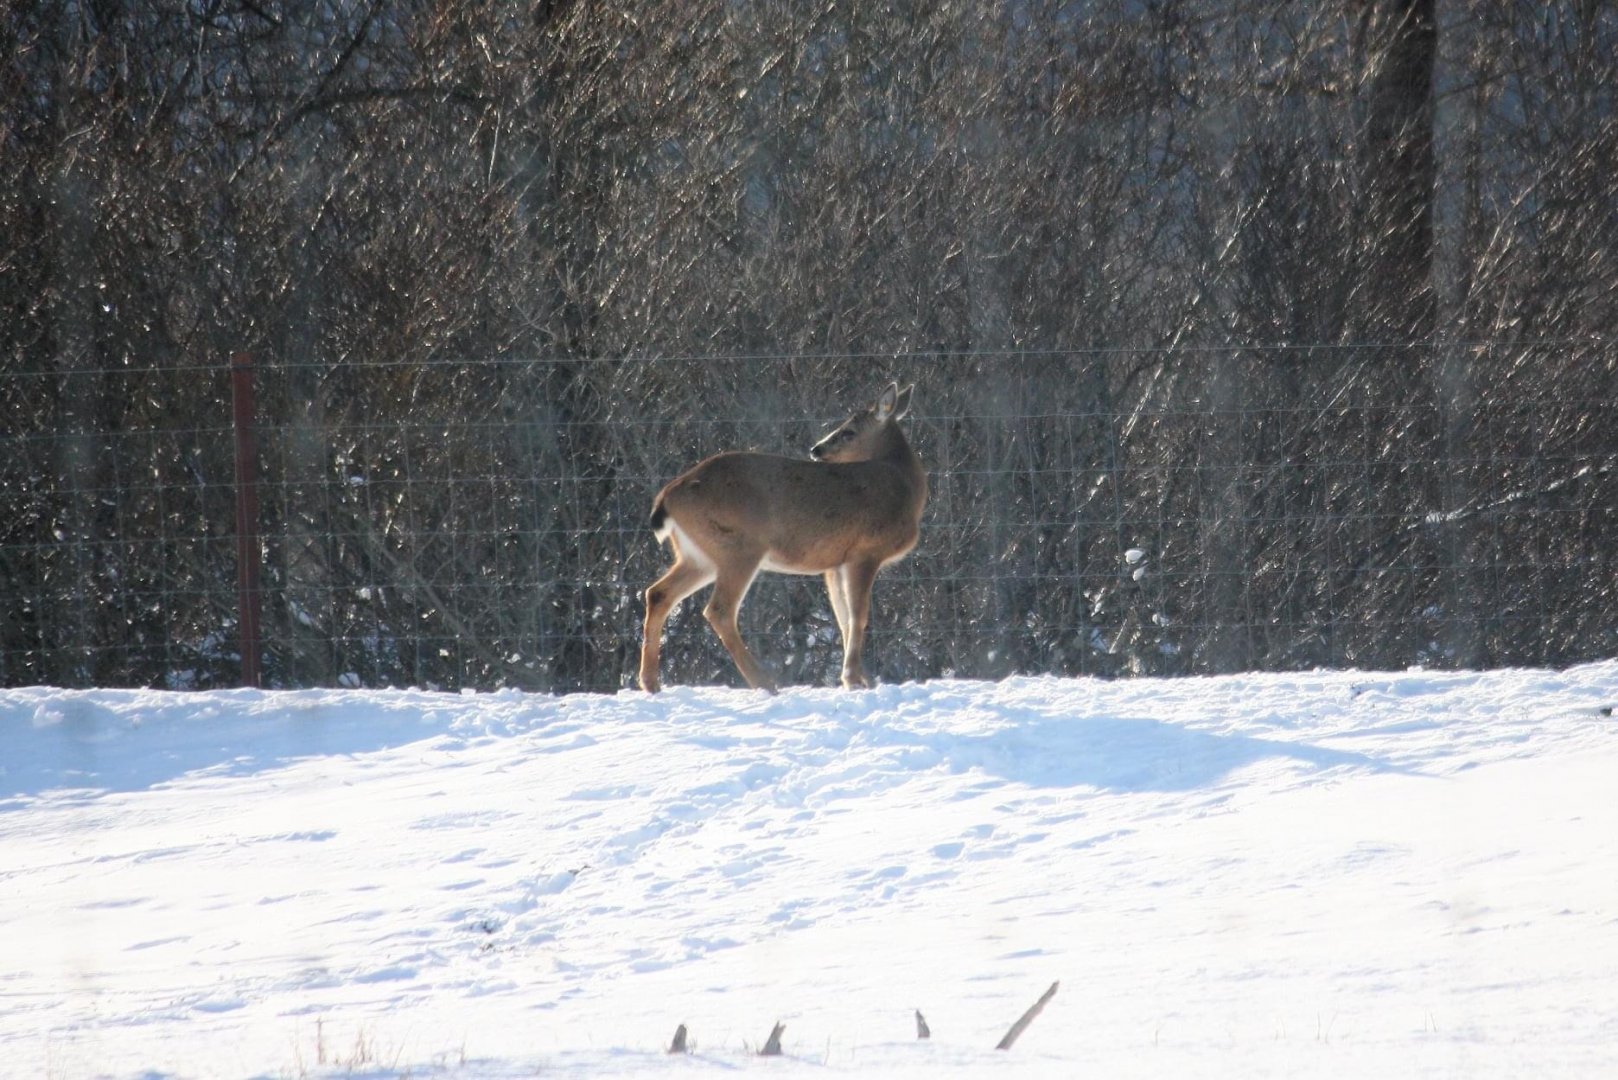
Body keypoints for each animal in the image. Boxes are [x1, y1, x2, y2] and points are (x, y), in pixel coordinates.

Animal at [638, 383, 926, 694]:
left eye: (849, 431)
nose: (816, 449)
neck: (904, 487)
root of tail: (668, 495)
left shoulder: (835, 563)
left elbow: (843, 618)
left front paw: (862, 678)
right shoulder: (865, 552)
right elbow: (858, 615)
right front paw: (853, 679)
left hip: (698, 555)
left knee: (658, 593)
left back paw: (650, 682)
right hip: (739, 548)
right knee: (719, 610)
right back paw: (764, 681)